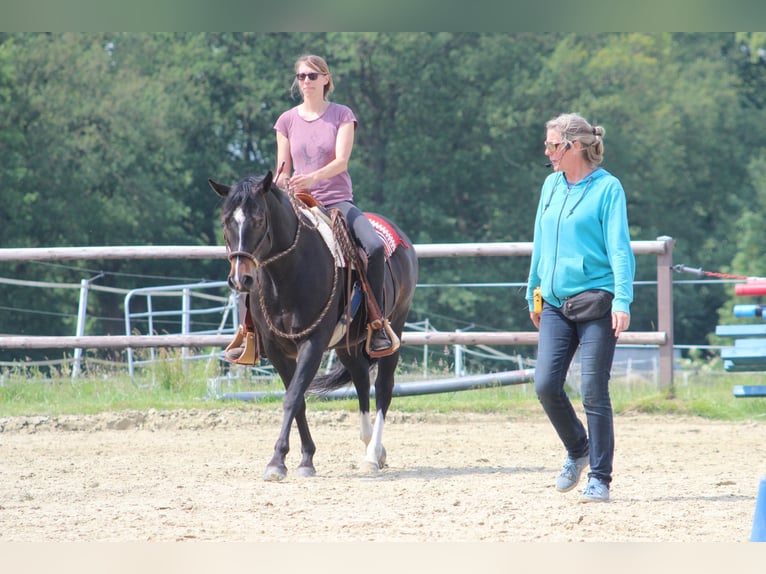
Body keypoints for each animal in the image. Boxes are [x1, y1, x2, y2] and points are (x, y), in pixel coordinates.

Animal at [210, 173, 420, 484]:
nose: (240, 278)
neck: (286, 274)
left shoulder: (313, 343)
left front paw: (276, 462)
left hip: (396, 323)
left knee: (383, 388)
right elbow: (298, 400)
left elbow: (292, 397)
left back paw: (372, 455)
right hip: (347, 344)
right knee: (360, 379)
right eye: (226, 221)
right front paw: (305, 458)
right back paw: (373, 447)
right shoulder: (276, 349)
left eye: (258, 219)